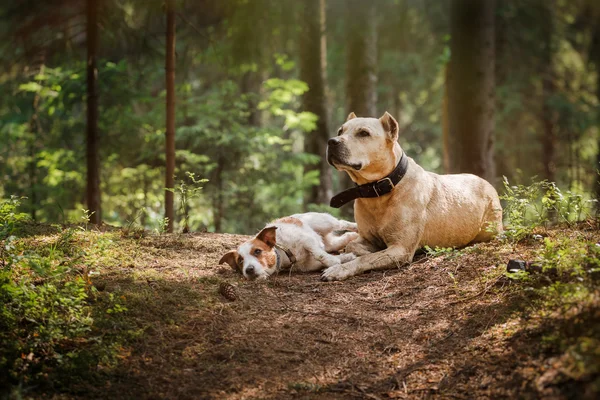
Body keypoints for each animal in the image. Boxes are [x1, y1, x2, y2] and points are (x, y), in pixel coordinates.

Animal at [221, 211, 358, 280]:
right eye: (240, 261)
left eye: (257, 251)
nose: (248, 270)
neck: (283, 253)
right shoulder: (311, 264)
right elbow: (335, 257)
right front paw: (346, 257)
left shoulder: (306, 240)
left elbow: (319, 254)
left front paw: (332, 262)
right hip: (330, 243)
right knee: (341, 239)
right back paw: (353, 236)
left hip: (324, 223)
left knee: (342, 223)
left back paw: (356, 227)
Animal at [322, 111, 504, 282]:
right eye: (340, 131)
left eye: (363, 133)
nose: (331, 141)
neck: (378, 192)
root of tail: (486, 183)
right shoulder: (367, 238)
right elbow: (352, 246)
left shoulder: (400, 249)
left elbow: (366, 259)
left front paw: (340, 269)